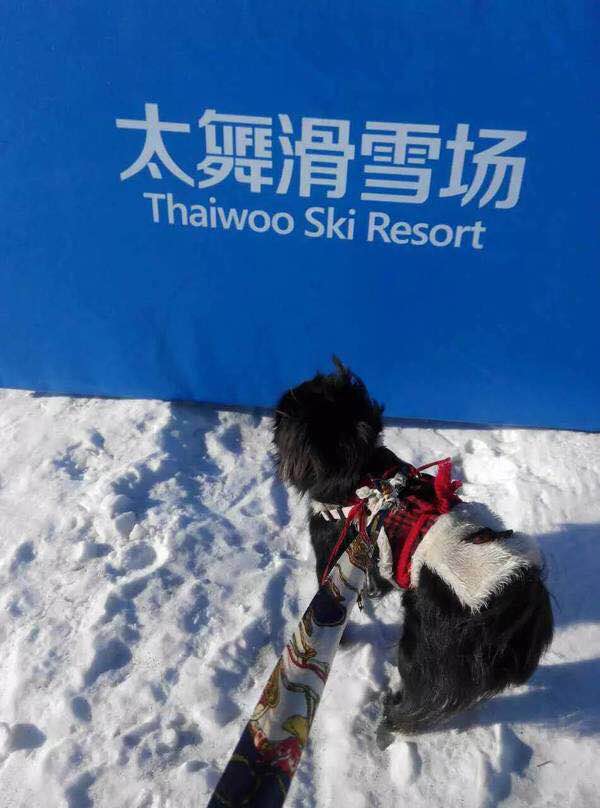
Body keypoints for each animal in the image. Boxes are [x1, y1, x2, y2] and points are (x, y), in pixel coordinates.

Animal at [273, 360, 554, 735]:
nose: (279, 401)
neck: (363, 473)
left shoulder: (331, 552)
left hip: (421, 656)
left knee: (418, 706)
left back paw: (389, 717)